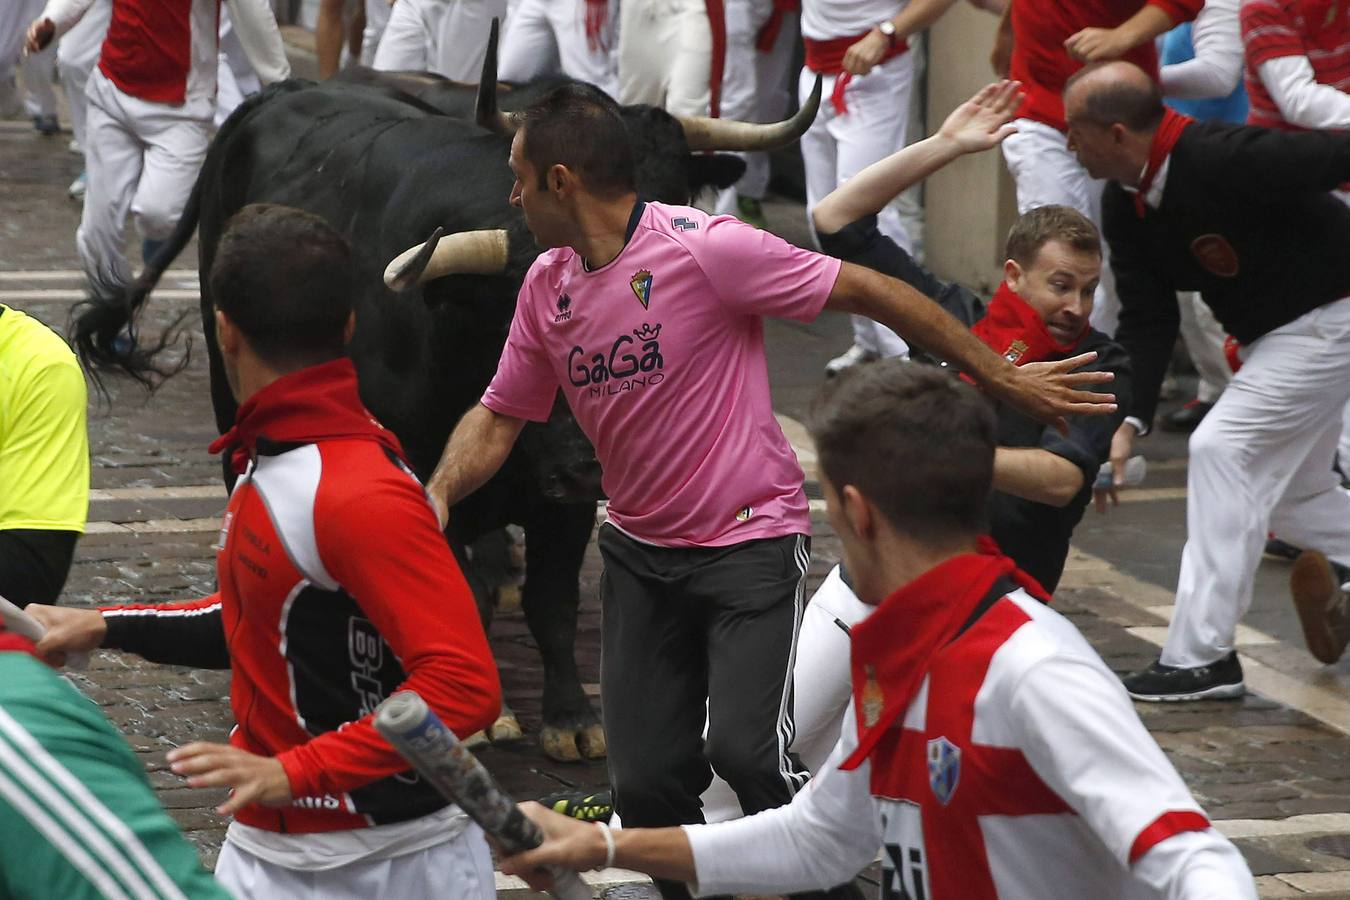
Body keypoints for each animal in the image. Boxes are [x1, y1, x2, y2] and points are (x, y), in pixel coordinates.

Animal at [76, 65, 820, 766]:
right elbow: (459, 586)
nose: (587, 465)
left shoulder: (563, 502)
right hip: (229, 378)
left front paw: (572, 719)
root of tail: (280, 92)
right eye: (515, 326)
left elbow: (552, 602)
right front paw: (489, 714)